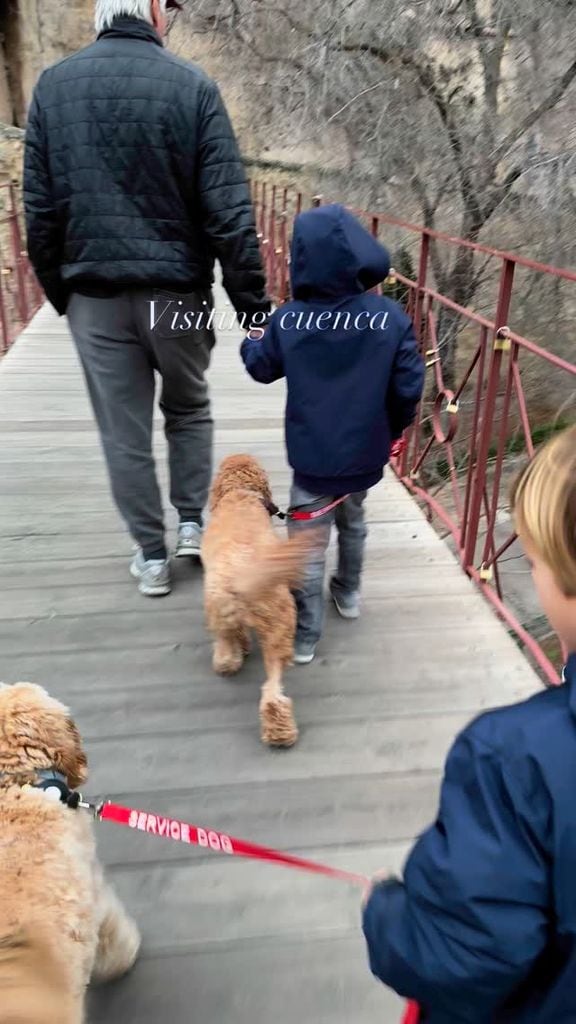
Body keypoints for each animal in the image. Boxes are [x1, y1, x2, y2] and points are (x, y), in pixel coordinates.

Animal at [199, 456, 311, 745]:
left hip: (223, 612)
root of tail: (242, 577)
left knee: (228, 649)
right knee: (272, 688)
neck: (240, 493)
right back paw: (281, 733)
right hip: (277, 624)